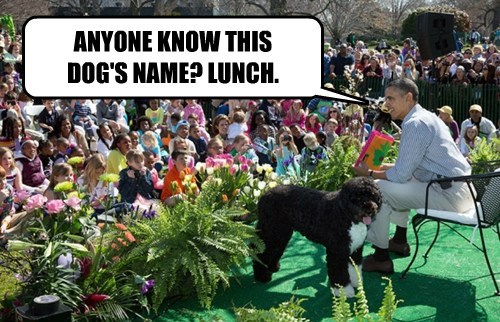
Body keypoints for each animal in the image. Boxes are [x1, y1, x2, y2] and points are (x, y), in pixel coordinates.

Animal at [254, 176, 382, 296]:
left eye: (372, 196)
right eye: (358, 198)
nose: (370, 209)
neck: (346, 215)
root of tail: (264, 196)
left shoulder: (356, 248)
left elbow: (354, 268)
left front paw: (357, 283)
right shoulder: (337, 252)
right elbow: (339, 272)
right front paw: (344, 292)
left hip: (281, 234)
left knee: (273, 251)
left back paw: (272, 267)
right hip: (272, 233)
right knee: (260, 253)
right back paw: (262, 277)